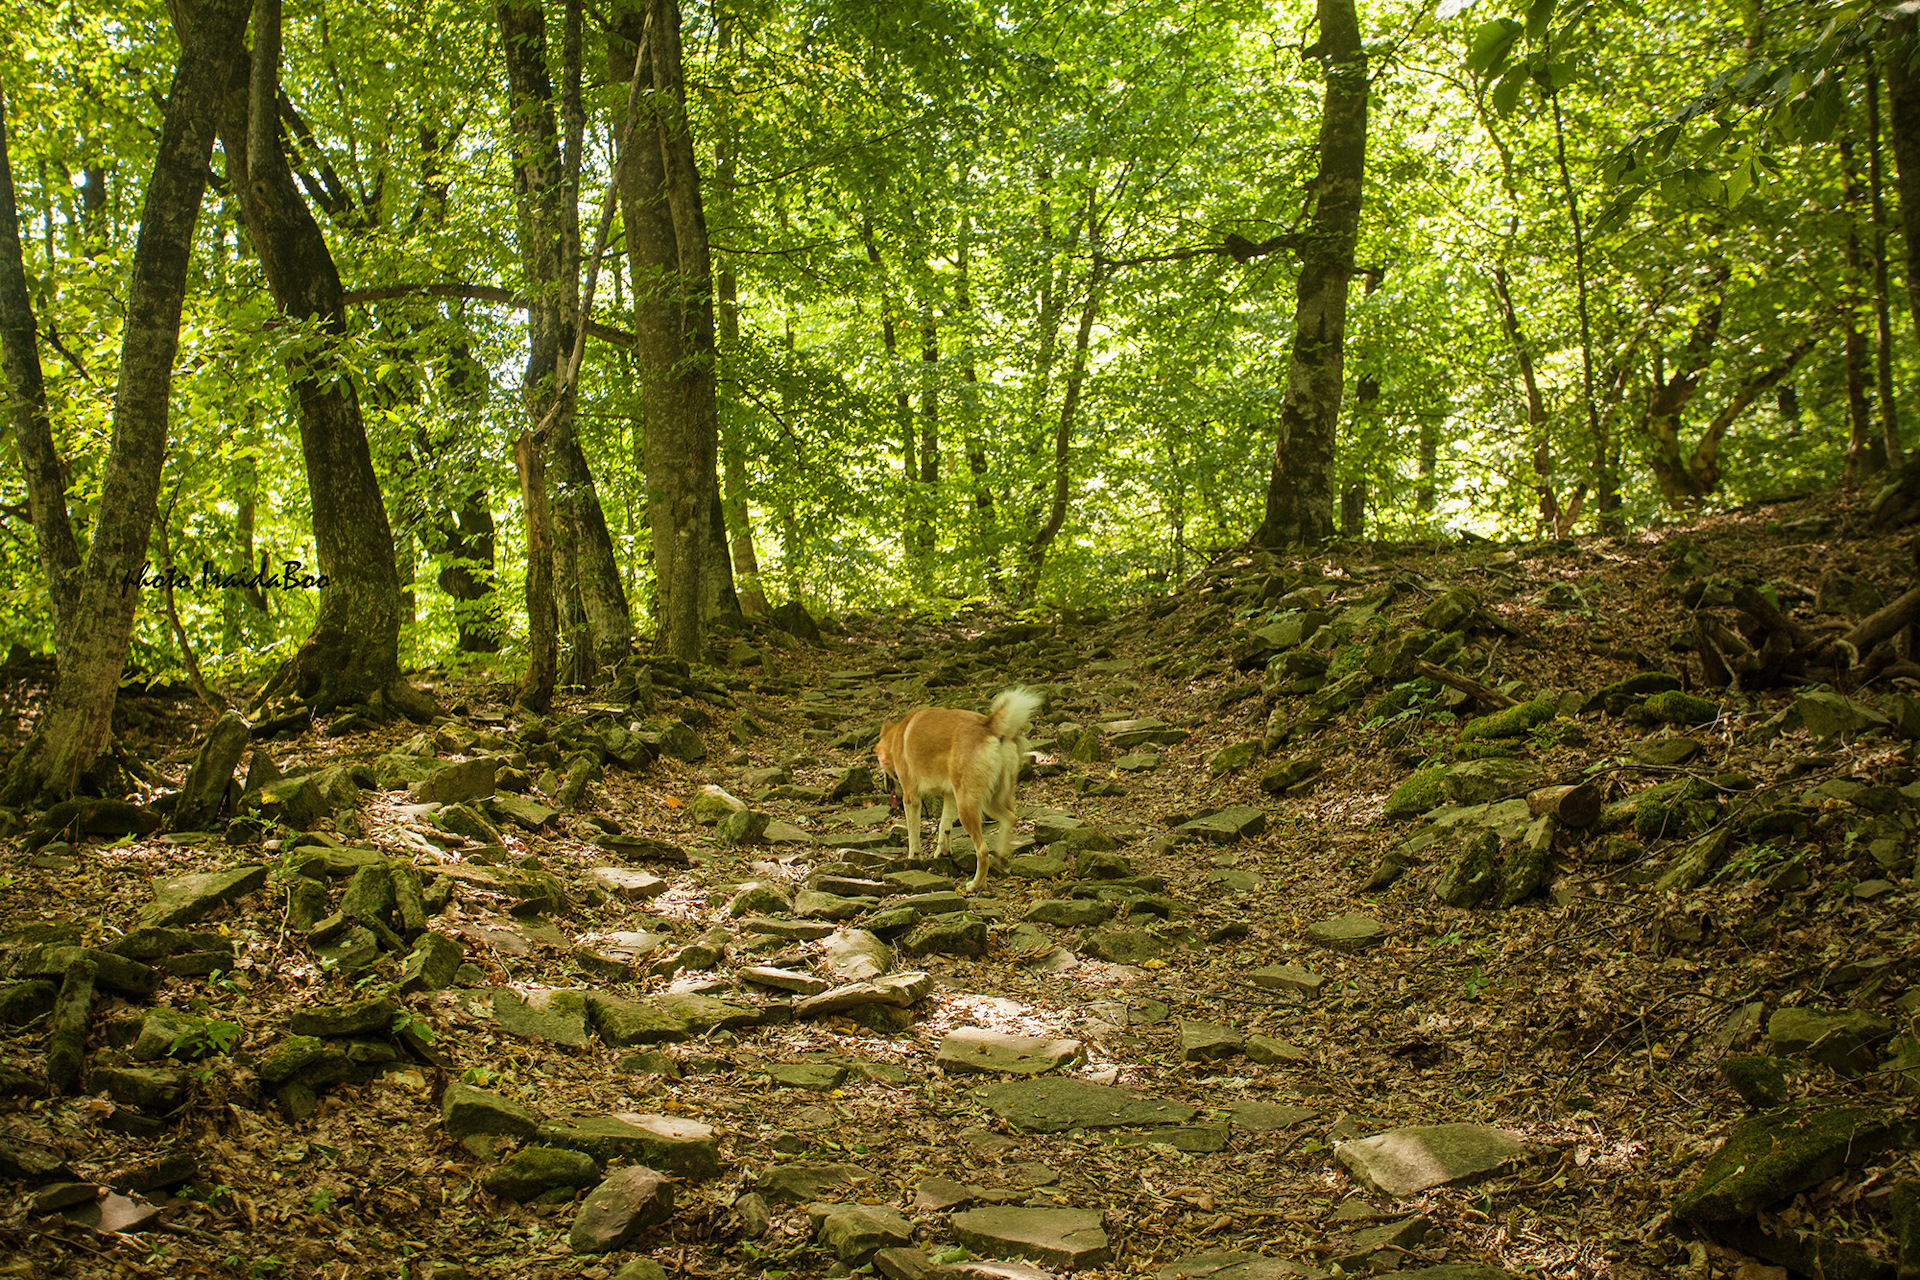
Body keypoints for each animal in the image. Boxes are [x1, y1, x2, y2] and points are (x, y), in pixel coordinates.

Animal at [879, 690, 1044, 890]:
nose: (885, 788)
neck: (897, 737)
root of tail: (989, 725)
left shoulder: (911, 798)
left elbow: (913, 834)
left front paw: (913, 857)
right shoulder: (950, 795)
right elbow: (944, 826)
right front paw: (942, 851)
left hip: (967, 806)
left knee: (982, 850)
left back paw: (976, 884)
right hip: (989, 801)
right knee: (1010, 819)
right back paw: (1001, 858)